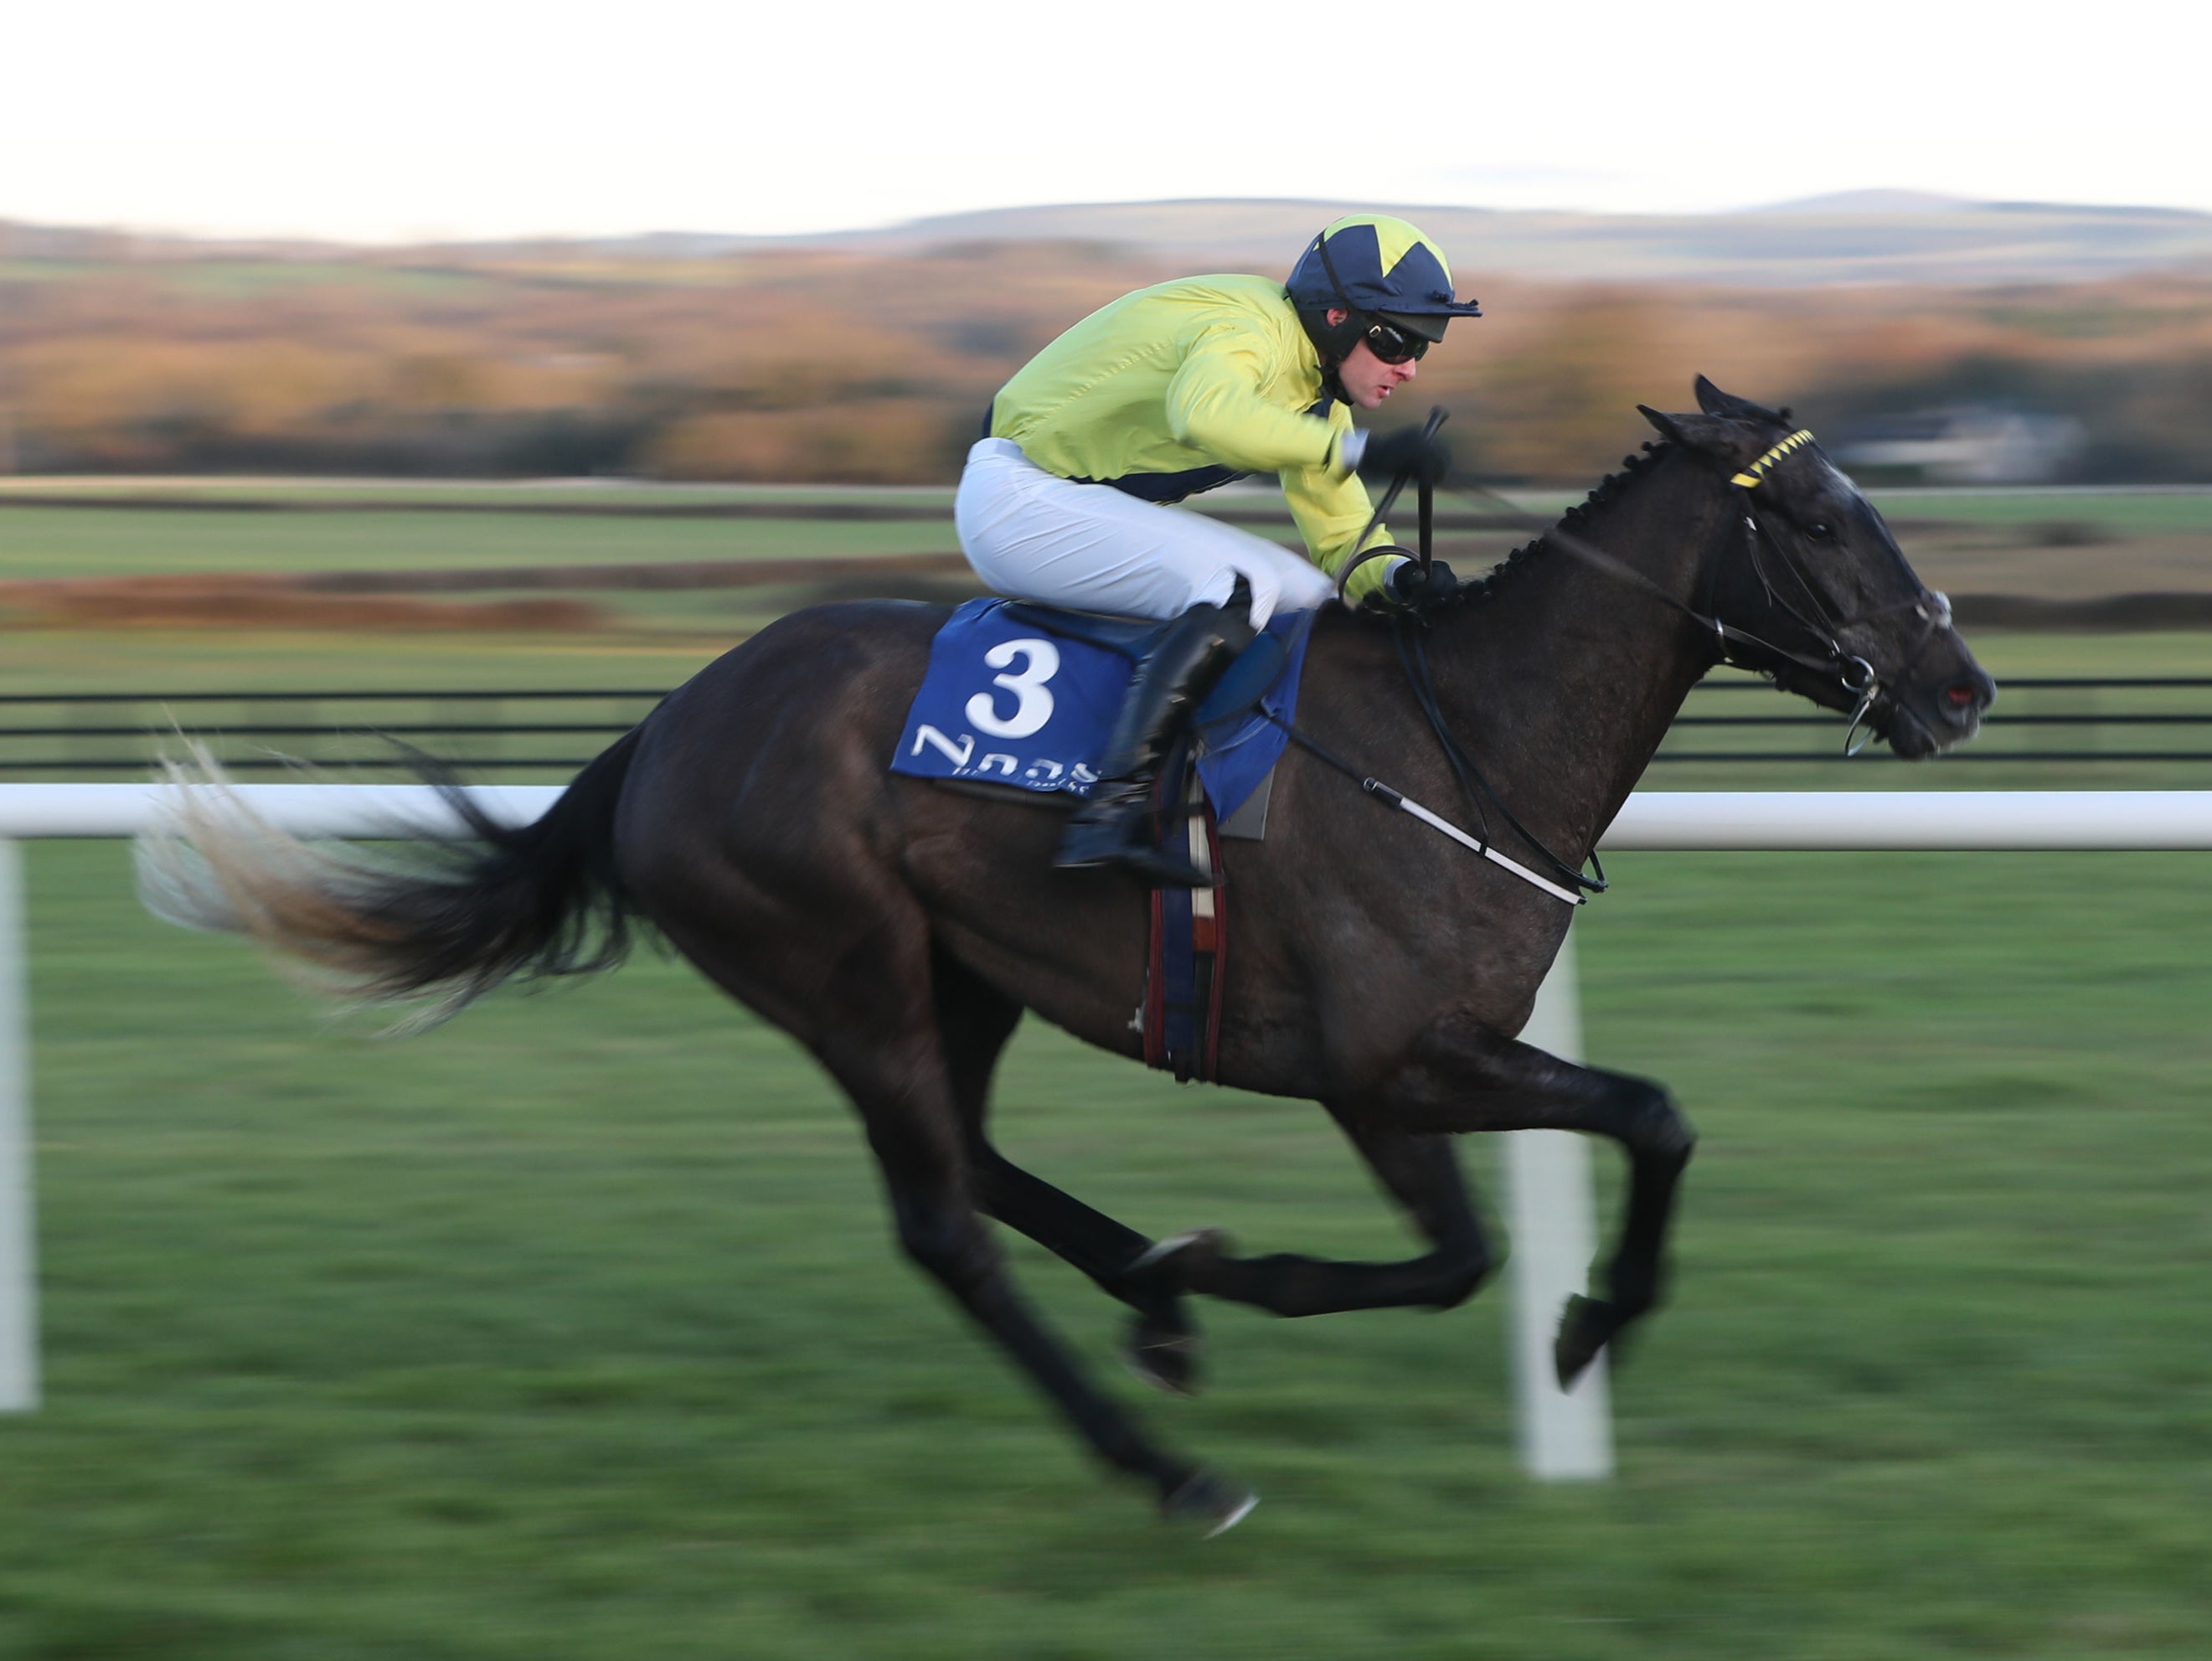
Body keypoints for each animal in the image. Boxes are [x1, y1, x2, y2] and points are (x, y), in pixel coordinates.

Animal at [142, 375, 2008, 1530]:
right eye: (1823, 521)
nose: (1964, 685)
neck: (1462, 736)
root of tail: (668, 722)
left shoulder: (1445, 1051)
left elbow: (1644, 1125)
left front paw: (1551, 1323)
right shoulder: (1384, 1065)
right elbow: (1493, 1229)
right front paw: (1544, 1321)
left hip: (957, 973)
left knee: (973, 1161)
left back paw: (1156, 1299)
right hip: (842, 964)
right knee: (944, 1225)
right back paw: (1171, 1464)